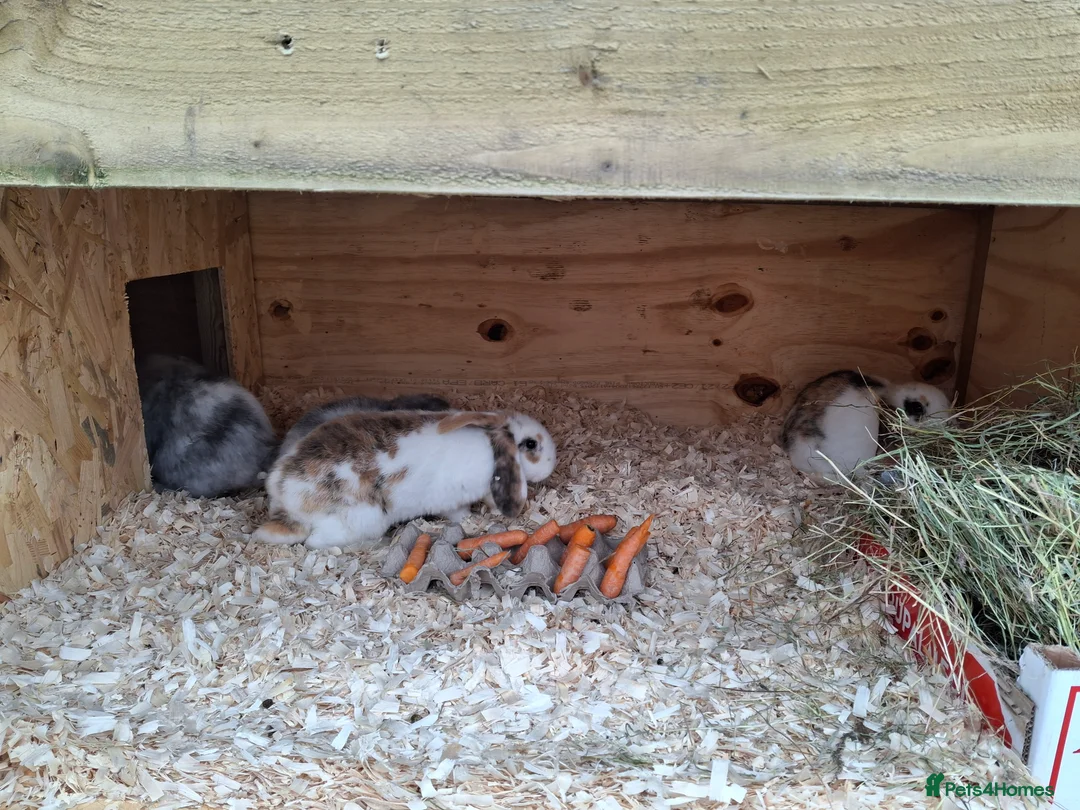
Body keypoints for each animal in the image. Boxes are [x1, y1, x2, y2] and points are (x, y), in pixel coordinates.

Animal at [254, 409, 557, 550]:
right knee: (314, 542)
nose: (552, 464)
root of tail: (286, 498)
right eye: (531, 444)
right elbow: (458, 513)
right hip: (361, 520)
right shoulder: (452, 499)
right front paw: (469, 519)